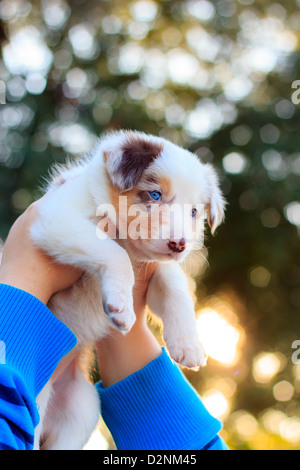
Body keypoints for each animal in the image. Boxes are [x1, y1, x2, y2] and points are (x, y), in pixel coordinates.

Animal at [30, 130, 225, 450]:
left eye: (194, 212)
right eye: (155, 195)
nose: (179, 245)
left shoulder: (156, 270)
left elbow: (176, 289)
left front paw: (188, 345)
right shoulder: (57, 218)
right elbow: (113, 252)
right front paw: (121, 306)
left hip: (81, 408)